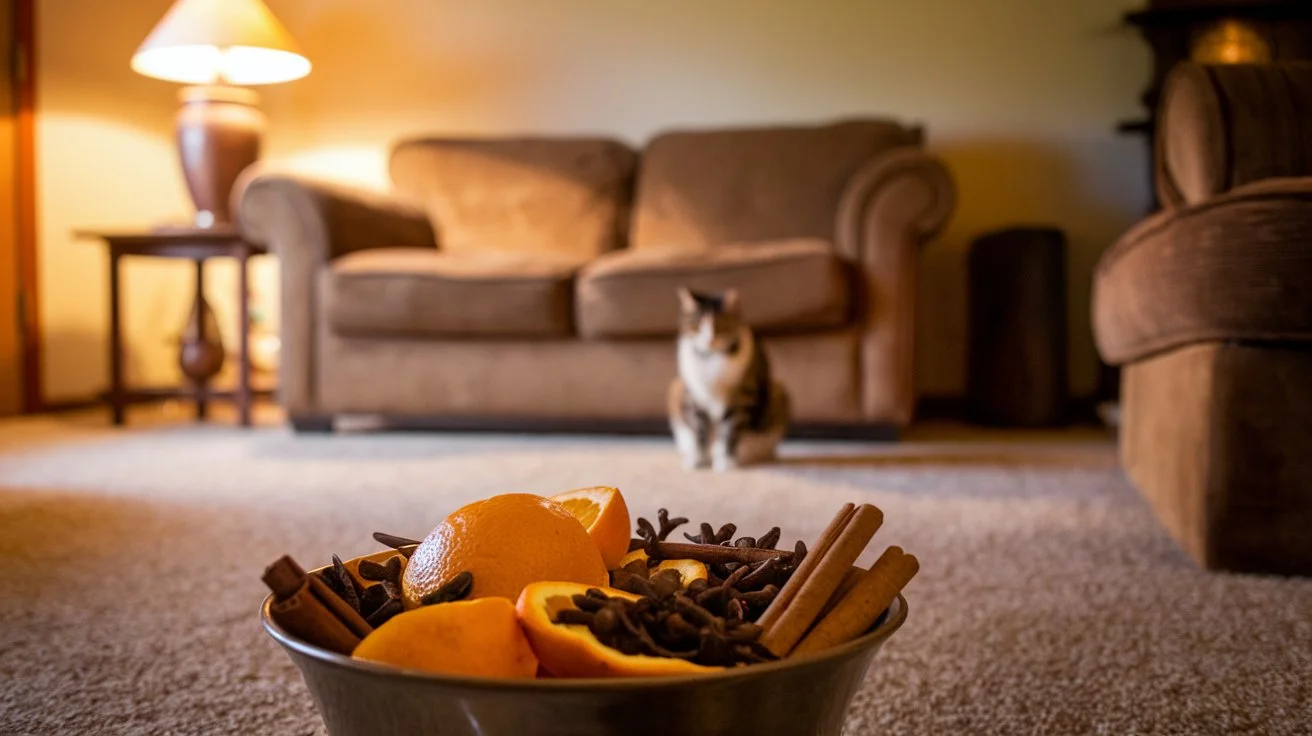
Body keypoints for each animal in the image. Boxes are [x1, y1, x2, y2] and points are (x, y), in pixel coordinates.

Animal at [671, 284, 781, 467]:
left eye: (720, 326)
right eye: (697, 326)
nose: (709, 340)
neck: (710, 357)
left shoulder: (742, 397)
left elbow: (731, 430)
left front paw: (726, 461)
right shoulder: (694, 396)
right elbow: (699, 429)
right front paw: (699, 459)